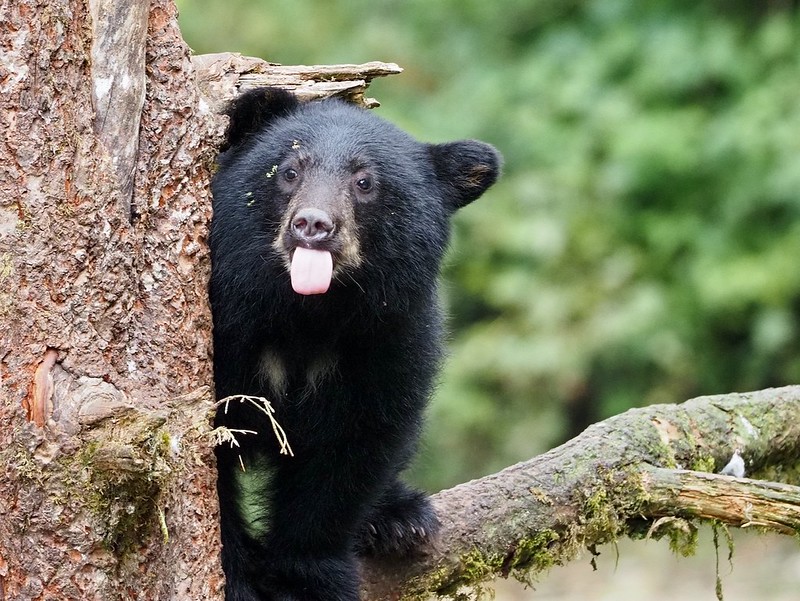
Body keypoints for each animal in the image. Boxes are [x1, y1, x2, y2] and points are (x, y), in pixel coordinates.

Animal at [209, 86, 501, 601]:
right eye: (289, 170)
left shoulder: (388, 334)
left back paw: (399, 517)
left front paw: (306, 578)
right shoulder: (228, 325)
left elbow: (354, 447)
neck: (306, 313)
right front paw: (237, 576)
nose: (312, 224)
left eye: (365, 182)